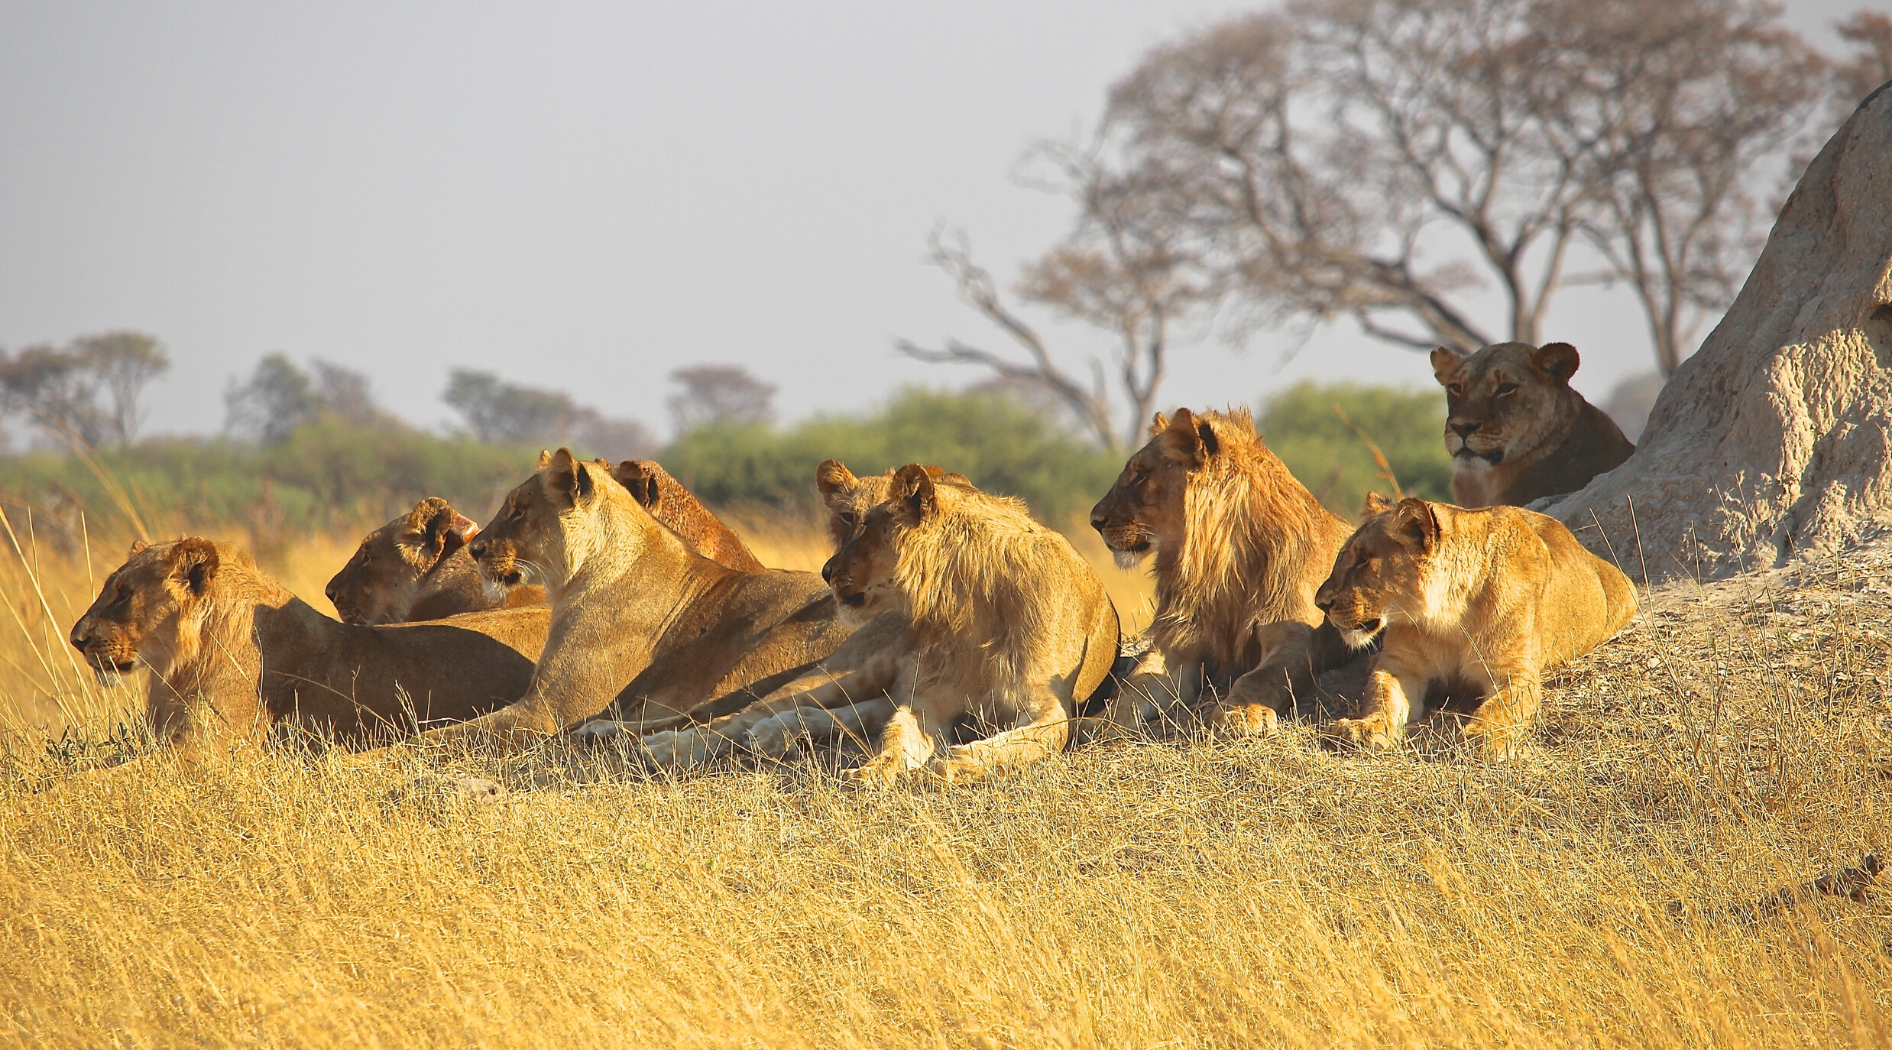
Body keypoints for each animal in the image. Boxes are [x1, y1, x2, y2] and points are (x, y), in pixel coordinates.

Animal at [824, 463, 1120, 783]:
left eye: (867, 527)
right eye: (850, 520)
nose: (826, 572)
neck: (970, 602)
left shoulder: (1047, 703)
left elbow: (1025, 741)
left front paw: (951, 764)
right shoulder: (930, 696)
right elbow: (895, 734)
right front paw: (871, 770)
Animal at [1097, 406, 1362, 734]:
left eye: (1141, 474)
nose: (1095, 520)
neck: (1220, 565)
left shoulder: (1297, 639)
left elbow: (1260, 678)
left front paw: (1241, 713)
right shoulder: (1176, 643)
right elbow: (1134, 686)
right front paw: (1096, 722)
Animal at [1316, 495, 1642, 760]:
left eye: (1362, 560)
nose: (1321, 603)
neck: (1447, 617)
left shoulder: (1515, 671)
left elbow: (1502, 706)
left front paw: (1482, 736)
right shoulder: (1401, 666)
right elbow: (1381, 696)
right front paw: (1363, 728)